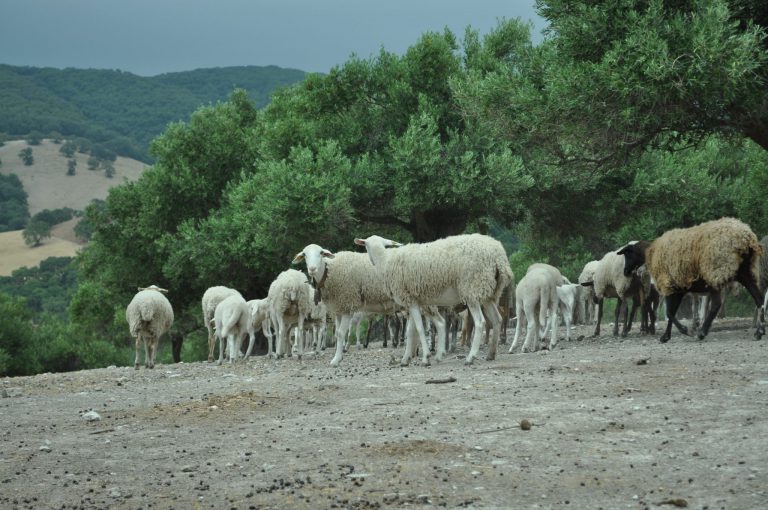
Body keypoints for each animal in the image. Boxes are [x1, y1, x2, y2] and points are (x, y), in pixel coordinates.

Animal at [356, 233, 512, 364]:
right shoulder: (412, 301)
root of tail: (499, 256)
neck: (385, 261)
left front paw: (425, 357)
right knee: (497, 319)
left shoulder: (411, 300)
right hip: (489, 292)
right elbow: (410, 331)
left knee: (480, 322)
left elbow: (419, 328)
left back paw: (471, 357)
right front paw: (406, 359)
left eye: (365, 246)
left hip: (472, 288)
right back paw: (491, 354)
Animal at [616, 217, 768, 340]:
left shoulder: (671, 286)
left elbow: (670, 312)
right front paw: (667, 335)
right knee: (759, 300)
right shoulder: (679, 288)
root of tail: (746, 237)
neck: (651, 253)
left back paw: (702, 332)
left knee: (716, 305)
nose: (625, 271)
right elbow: (671, 312)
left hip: (715, 272)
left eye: (627, 254)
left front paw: (682, 330)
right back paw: (759, 331)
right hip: (744, 272)